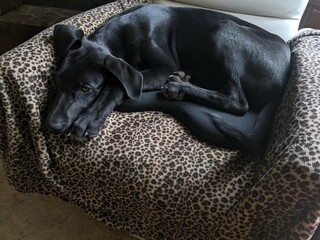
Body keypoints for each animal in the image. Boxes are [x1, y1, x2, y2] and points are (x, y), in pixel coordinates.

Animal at [46, 3, 292, 153]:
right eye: (56, 81)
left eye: (86, 88)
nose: (52, 126)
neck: (119, 35)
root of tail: (285, 77)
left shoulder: (164, 67)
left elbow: (117, 84)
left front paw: (89, 120)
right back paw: (182, 81)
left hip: (222, 30)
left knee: (238, 102)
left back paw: (179, 88)